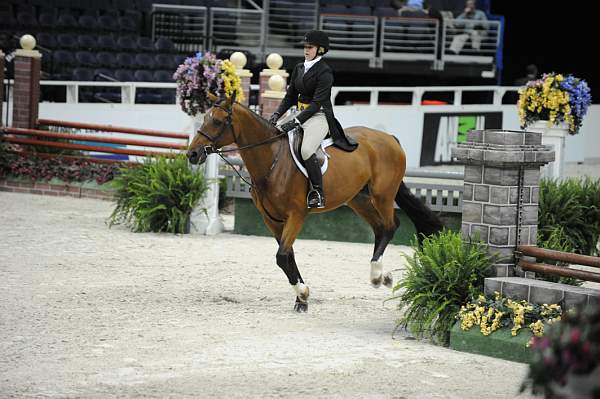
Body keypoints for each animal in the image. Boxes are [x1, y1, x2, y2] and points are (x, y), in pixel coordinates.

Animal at [188, 94, 446, 312]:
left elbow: (282, 256)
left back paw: (376, 275)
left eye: (218, 122)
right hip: (358, 199)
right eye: (205, 118)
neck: (272, 162)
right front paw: (301, 299)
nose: (192, 154)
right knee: (381, 228)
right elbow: (288, 257)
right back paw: (384, 276)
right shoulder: (271, 220)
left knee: (391, 225)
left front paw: (303, 293)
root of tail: (389, 138)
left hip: (382, 195)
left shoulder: (296, 215)